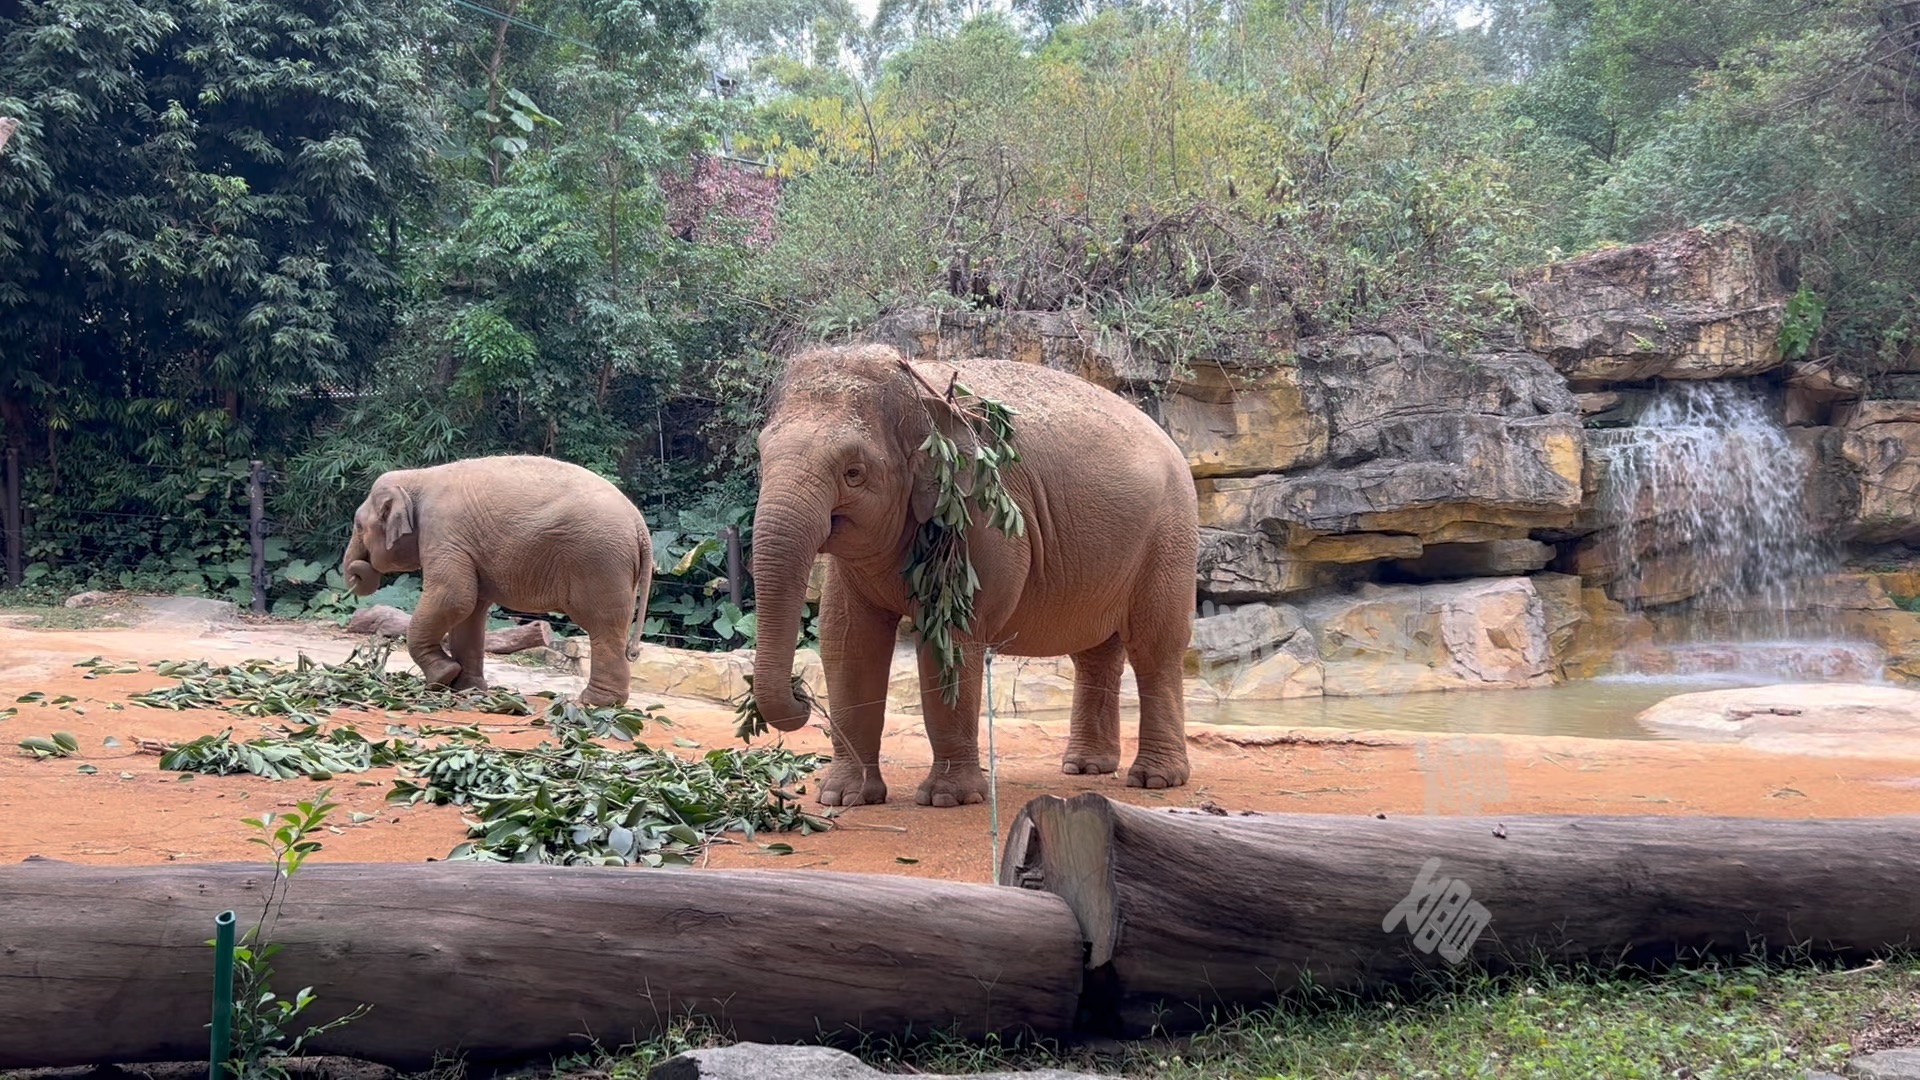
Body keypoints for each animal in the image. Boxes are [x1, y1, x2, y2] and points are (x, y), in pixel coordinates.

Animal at [339, 454, 654, 706]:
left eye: (358, 526)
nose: (356, 572)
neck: (417, 476)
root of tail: (640, 527)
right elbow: (470, 612)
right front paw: (467, 689)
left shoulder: (443, 533)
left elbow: (453, 598)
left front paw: (442, 678)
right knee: (613, 627)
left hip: (599, 562)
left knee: (603, 627)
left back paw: (593, 703)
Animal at [748, 343, 1201, 808]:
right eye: (762, 454)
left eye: (853, 472)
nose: (801, 695)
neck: (919, 390)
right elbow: (848, 639)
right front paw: (843, 798)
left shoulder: (980, 517)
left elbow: (950, 636)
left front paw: (948, 799)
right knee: (1095, 650)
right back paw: (1086, 767)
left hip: (1170, 535)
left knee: (1156, 644)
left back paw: (1155, 779)